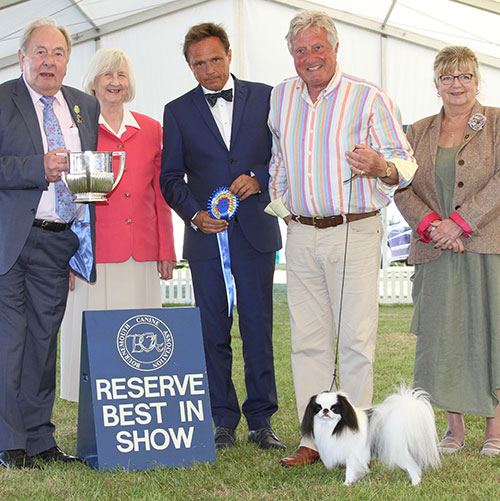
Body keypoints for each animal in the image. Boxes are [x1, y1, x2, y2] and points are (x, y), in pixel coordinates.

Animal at [300, 386, 438, 484]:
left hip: (398, 452)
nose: (325, 410)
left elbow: (350, 470)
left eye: (334, 409)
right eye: (318, 408)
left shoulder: (353, 454)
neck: (335, 426)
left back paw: (415, 483)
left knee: (412, 466)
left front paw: (347, 483)